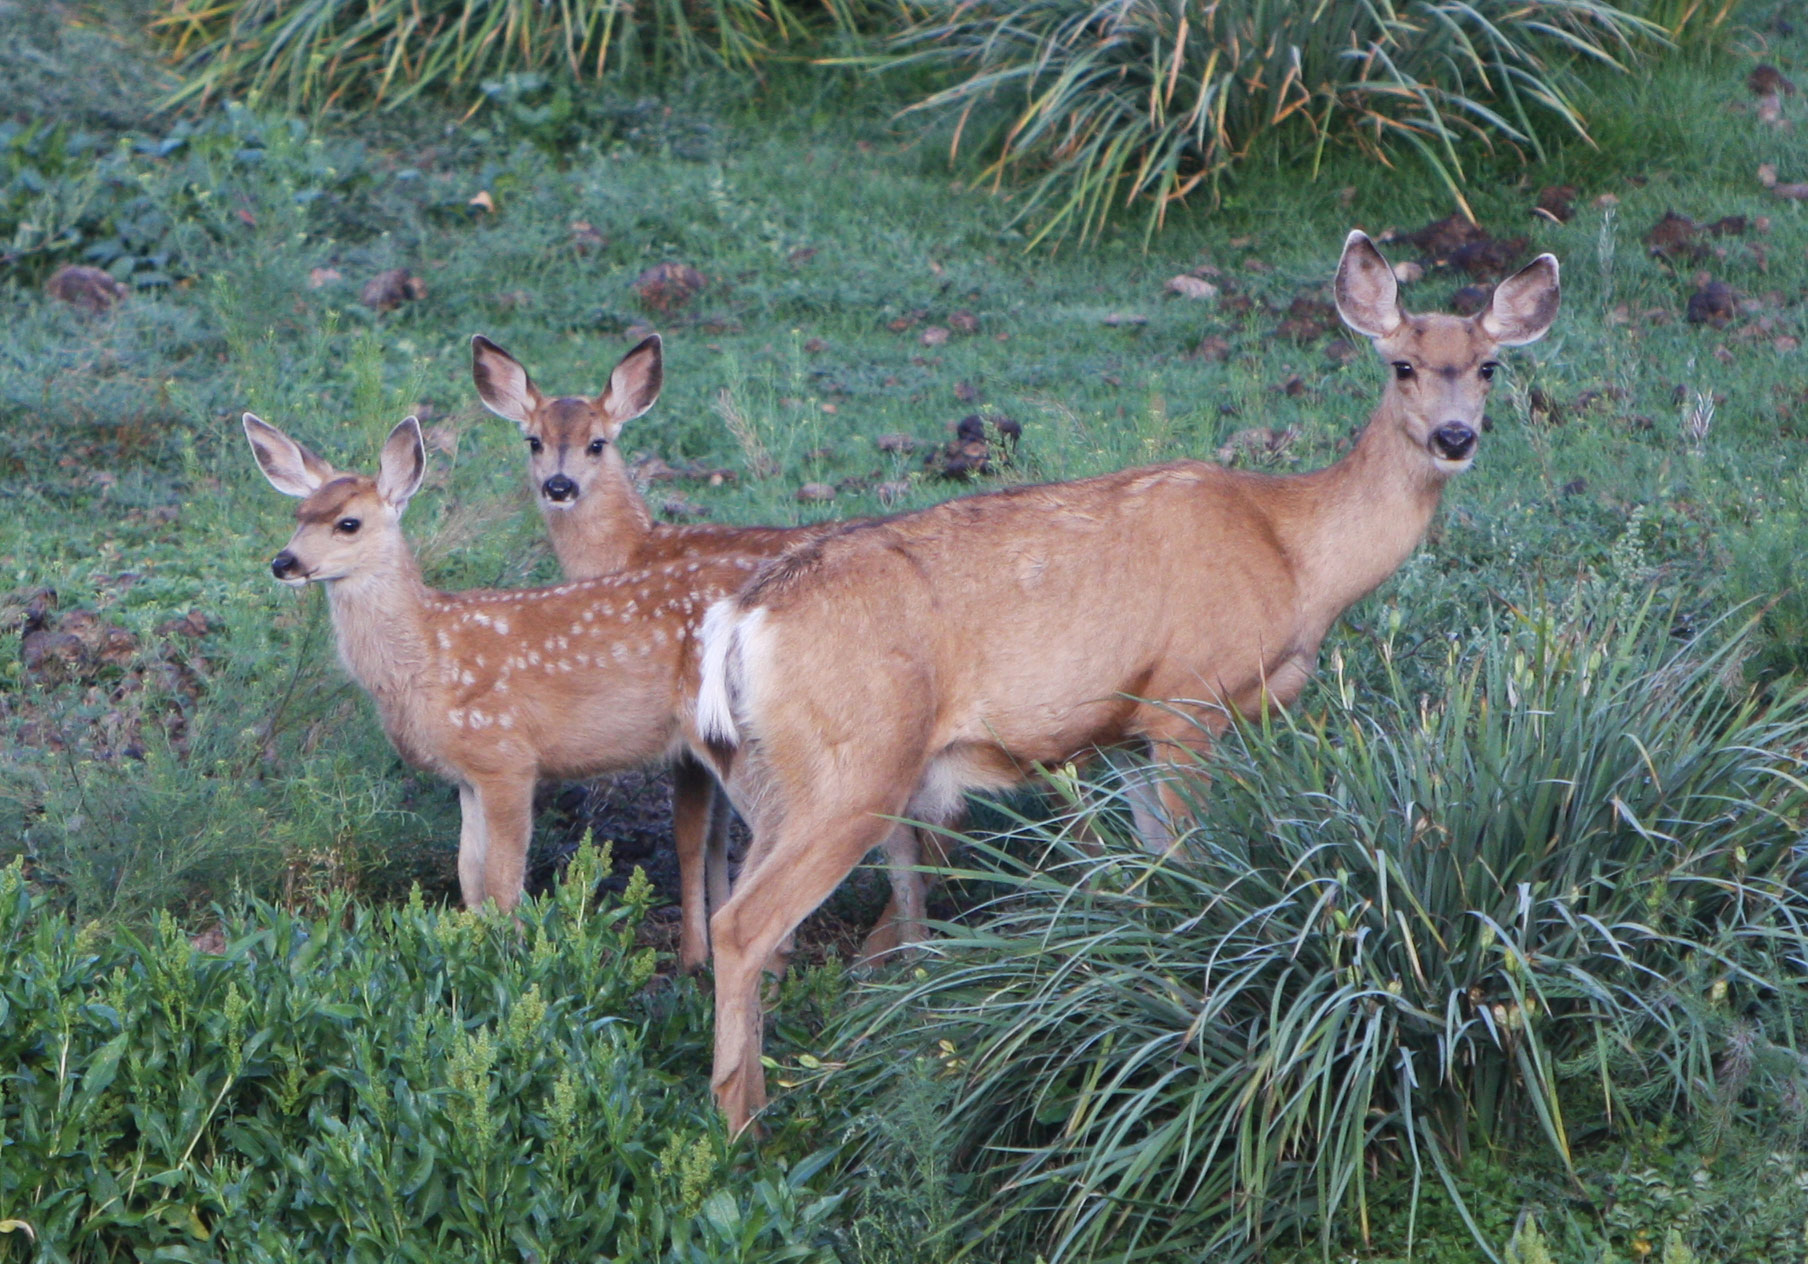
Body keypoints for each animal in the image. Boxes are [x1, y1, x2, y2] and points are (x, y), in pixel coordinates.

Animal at [240, 410, 762, 947]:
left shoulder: (506, 755)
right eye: (298, 515)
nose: (284, 563)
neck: (430, 656)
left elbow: (502, 880)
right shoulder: (467, 775)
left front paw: (512, 953)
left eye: (349, 523)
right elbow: (469, 875)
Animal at [466, 330, 940, 962]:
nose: (558, 486)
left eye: (597, 443)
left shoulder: (688, 730)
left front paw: (694, 954)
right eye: (533, 440)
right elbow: (714, 836)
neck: (636, 550)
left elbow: (690, 835)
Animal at [697, 233, 1562, 1135]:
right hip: (854, 766)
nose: (1456, 436)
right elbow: (1194, 862)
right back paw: (743, 1124)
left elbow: (1158, 870)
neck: (1297, 556)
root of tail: (743, 619)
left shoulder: (1130, 732)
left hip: (780, 778)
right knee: (743, 924)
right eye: (1401, 365)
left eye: (1489, 365)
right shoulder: (1190, 700)